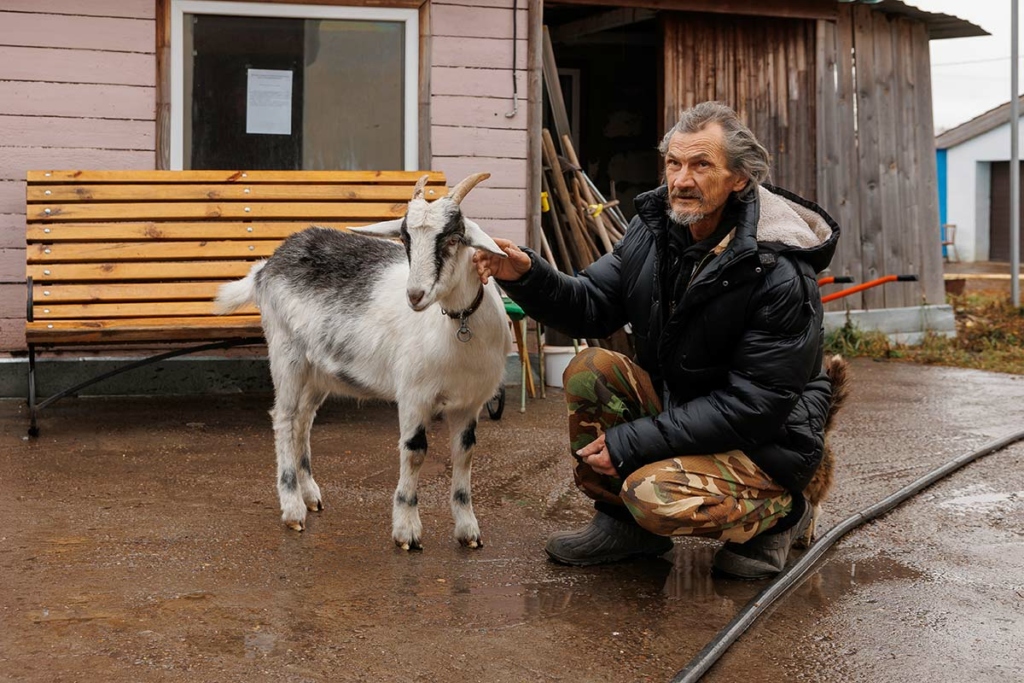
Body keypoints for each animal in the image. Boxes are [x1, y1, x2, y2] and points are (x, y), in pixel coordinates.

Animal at [214, 172, 509, 548]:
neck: (457, 325)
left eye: (454, 238)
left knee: (302, 421)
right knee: (283, 419)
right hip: (285, 352)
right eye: (404, 238)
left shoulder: (468, 404)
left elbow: (465, 453)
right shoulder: (413, 395)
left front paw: (469, 531)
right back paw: (293, 508)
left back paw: (311, 495)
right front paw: (406, 530)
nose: (415, 295)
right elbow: (415, 451)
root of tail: (266, 267)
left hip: (319, 370)